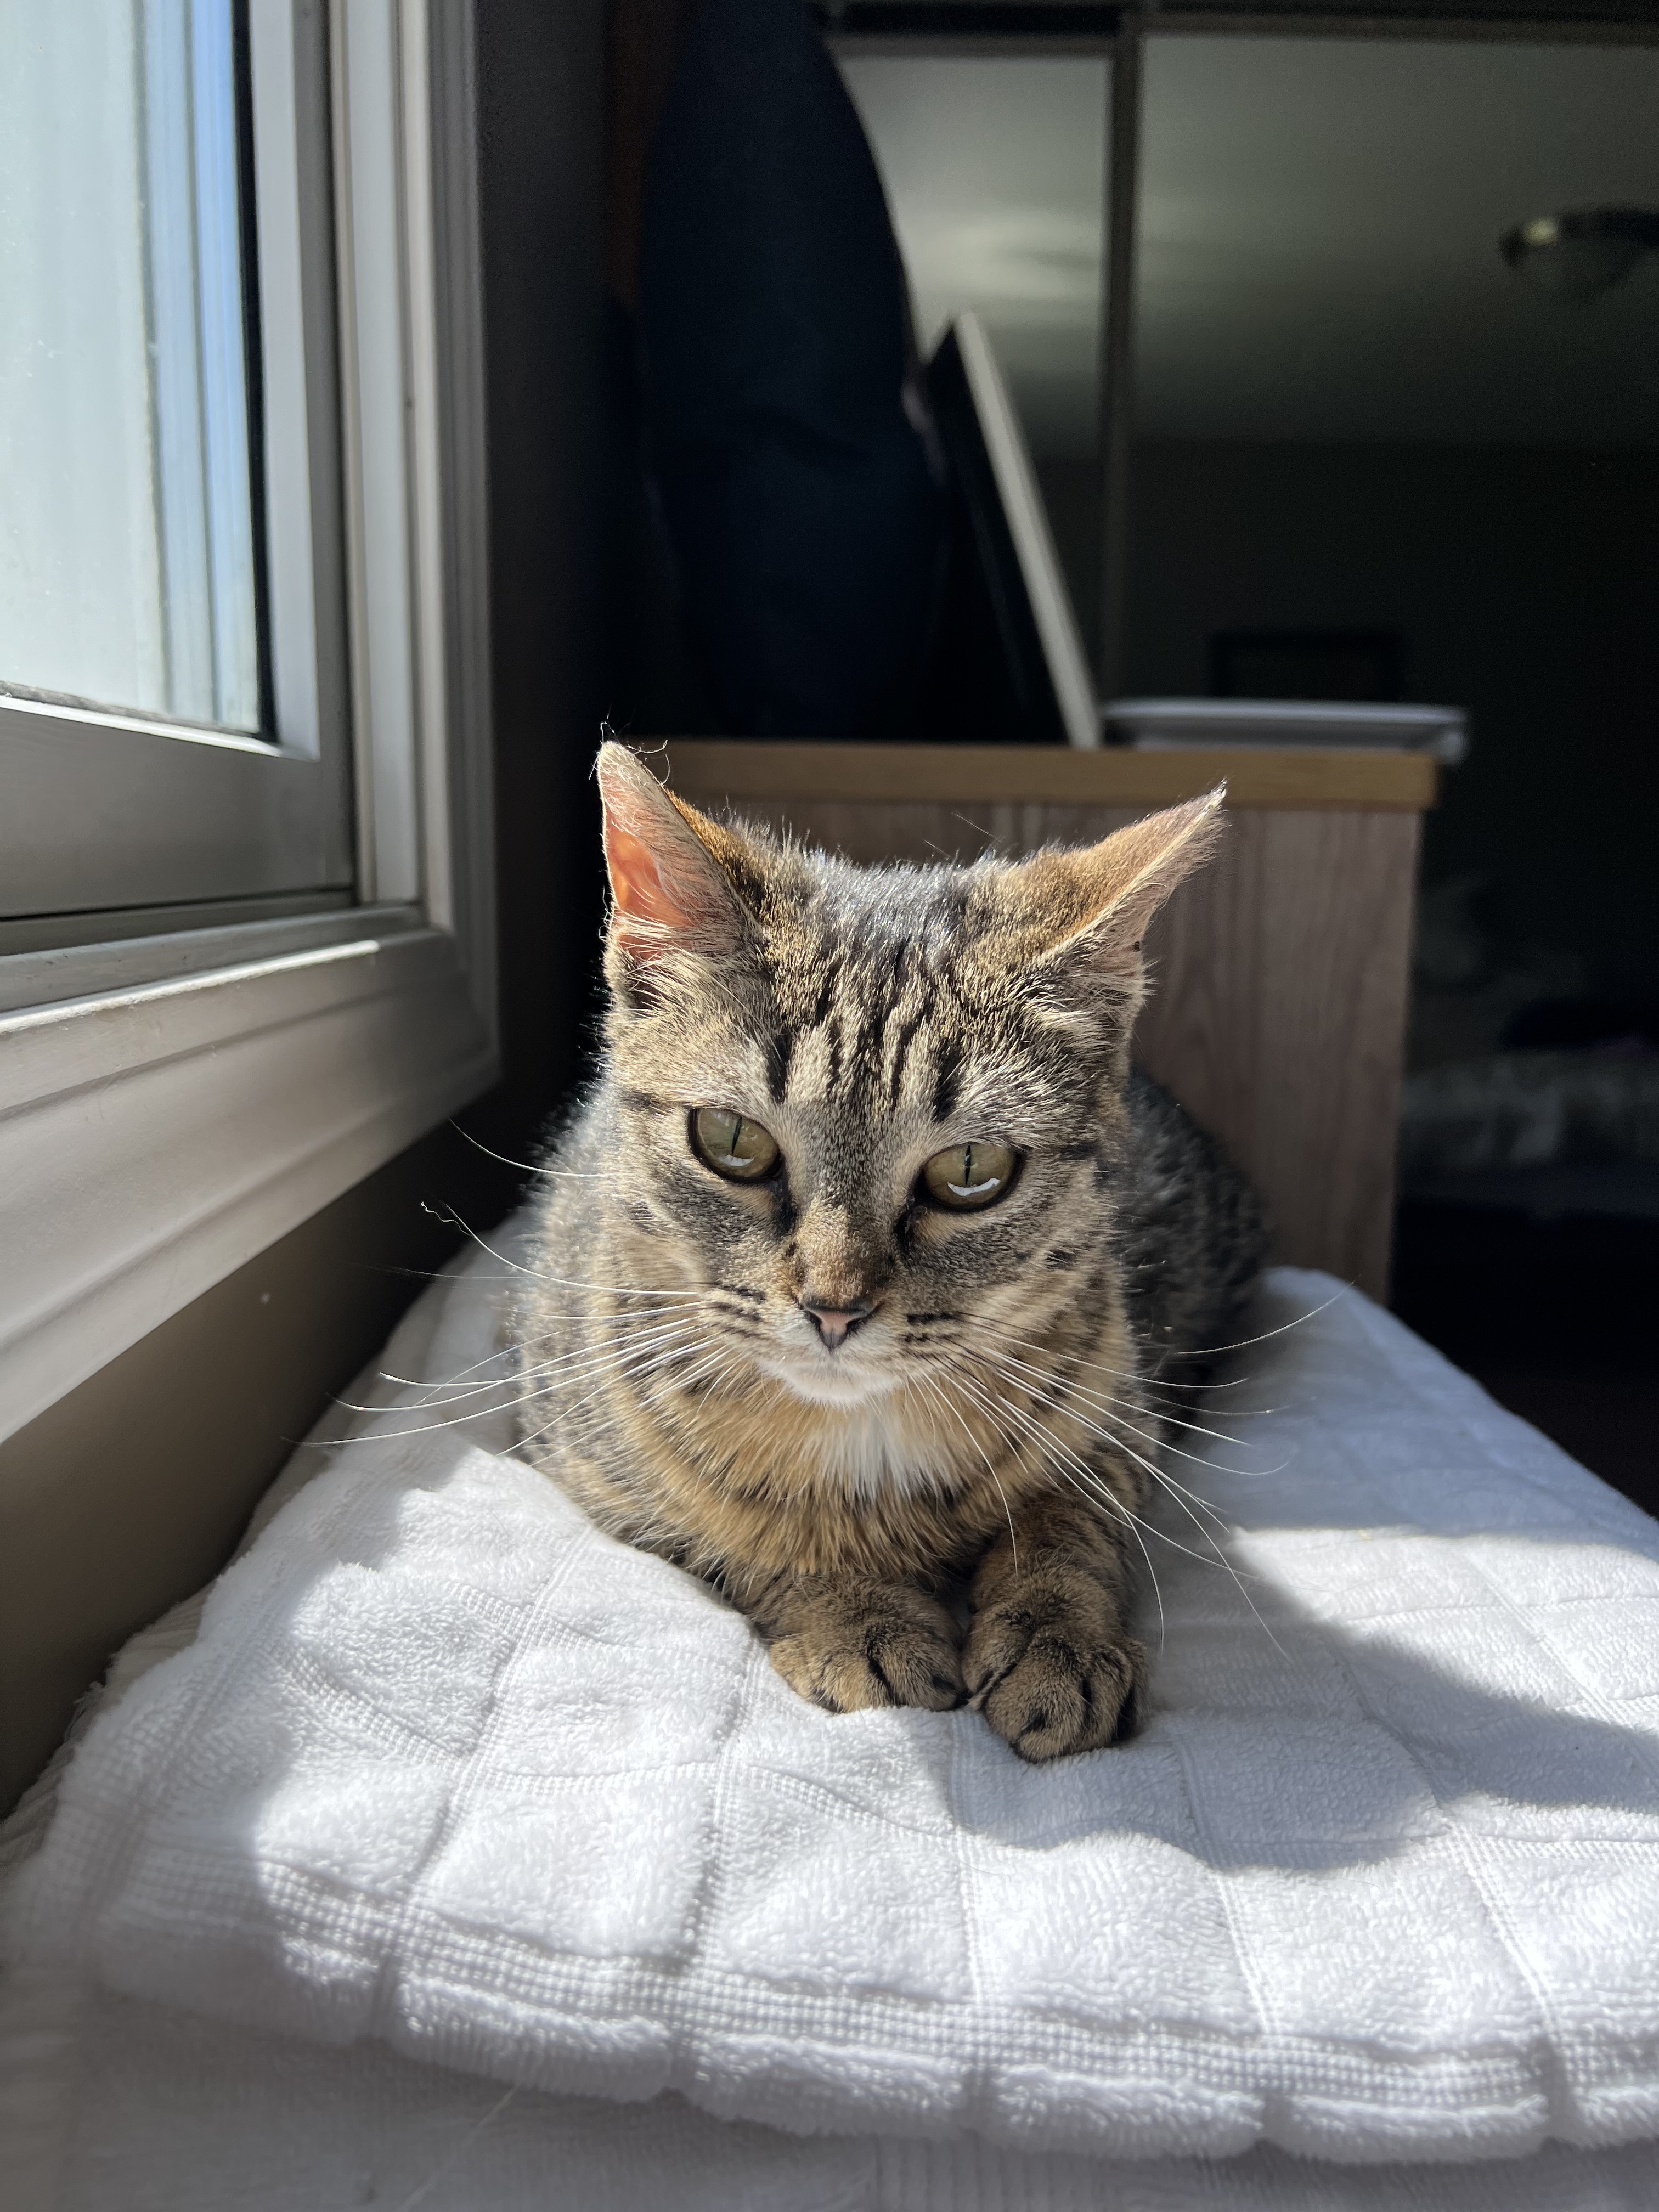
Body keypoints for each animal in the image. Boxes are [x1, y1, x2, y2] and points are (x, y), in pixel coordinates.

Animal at [520, 747, 1274, 1760]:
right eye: (731, 1139)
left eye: (970, 1169)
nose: (832, 1306)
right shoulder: (582, 1452)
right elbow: (751, 1533)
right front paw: (856, 1611)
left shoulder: (1117, 1420)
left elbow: (1069, 1522)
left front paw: (1059, 1637)